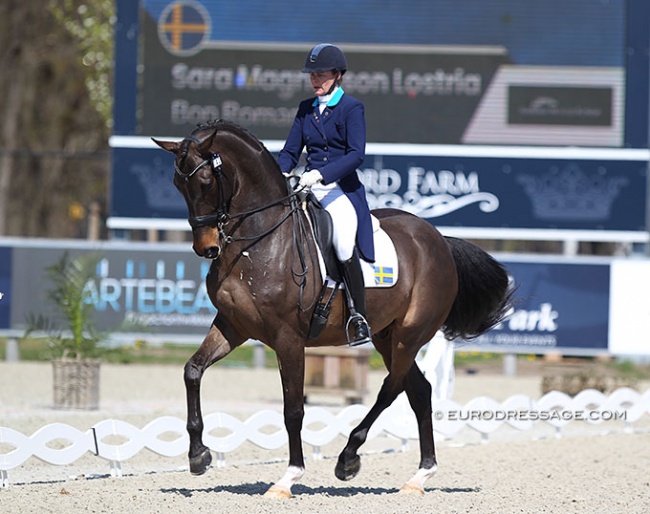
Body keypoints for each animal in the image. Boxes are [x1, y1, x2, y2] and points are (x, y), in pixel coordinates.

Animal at [153, 120, 512, 496]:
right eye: (178, 184)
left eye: (206, 181)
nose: (206, 247)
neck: (260, 242)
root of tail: (439, 240)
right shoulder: (232, 326)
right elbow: (193, 371)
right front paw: (199, 455)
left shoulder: (288, 338)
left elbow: (293, 409)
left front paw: (289, 477)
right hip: (386, 336)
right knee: (419, 391)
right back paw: (420, 475)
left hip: (409, 335)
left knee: (391, 388)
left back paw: (349, 458)